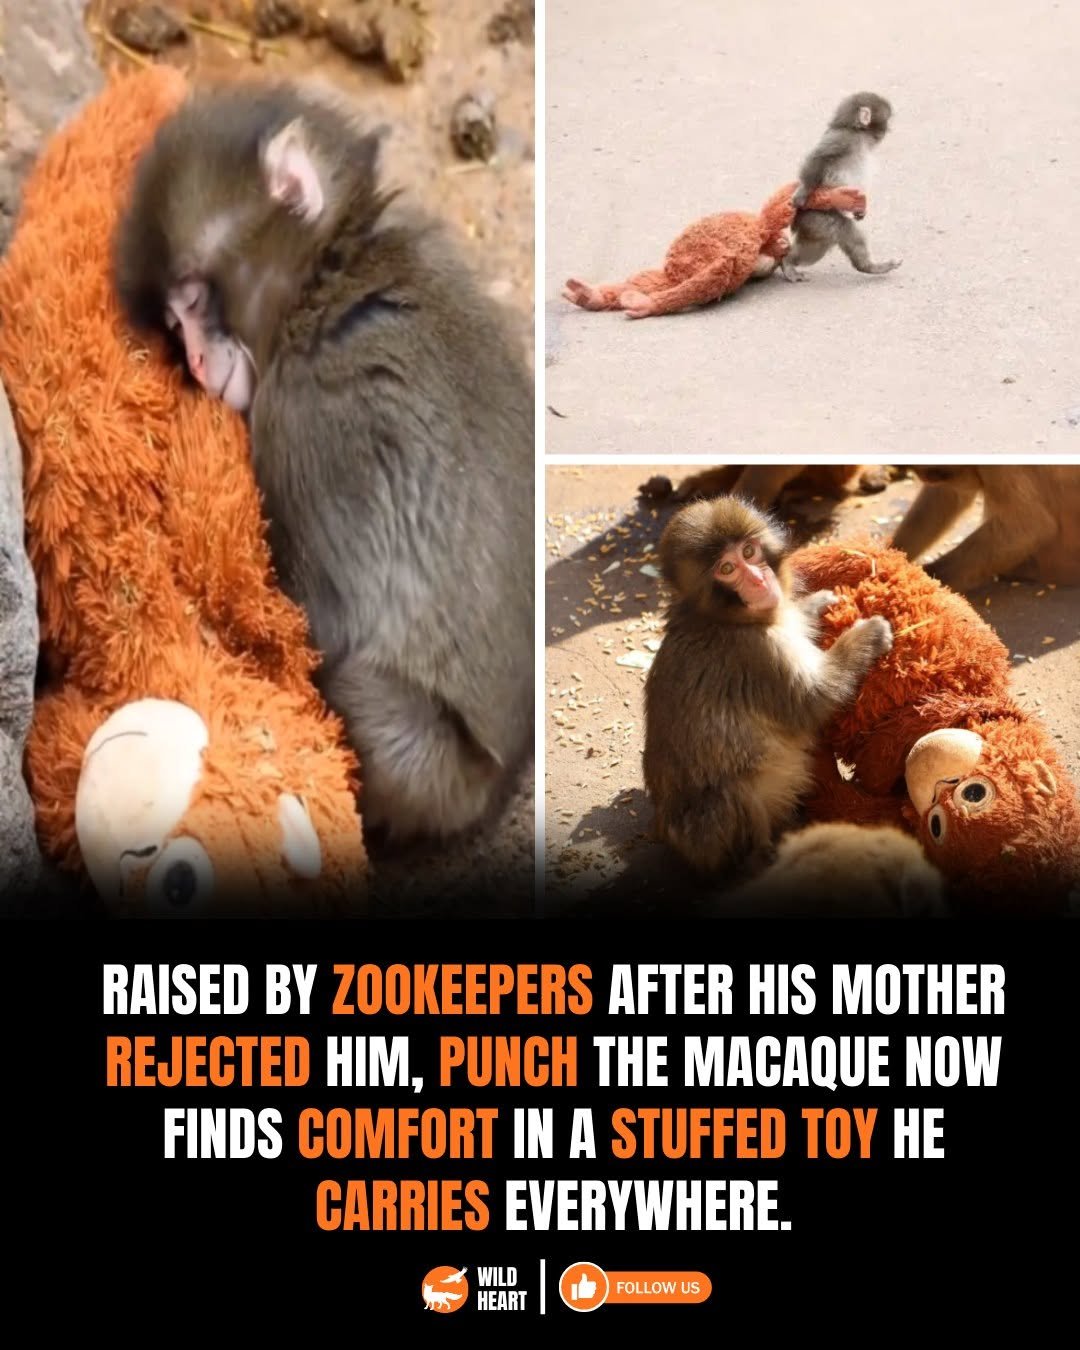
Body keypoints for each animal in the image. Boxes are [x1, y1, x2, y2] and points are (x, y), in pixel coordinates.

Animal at [115, 83, 534, 844]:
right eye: (171, 321)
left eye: (193, 299)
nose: (194, 359)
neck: (326, 278)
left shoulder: (303, 416)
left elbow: (318, 625)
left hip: (426, 766)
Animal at [642, 496, 893, 875]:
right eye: (727, 568)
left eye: (749, 551)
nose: (759, 580)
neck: (725, 618)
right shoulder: (757, 654)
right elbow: (813, 700)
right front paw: (868, 635)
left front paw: (814, 605)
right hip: (708, 836)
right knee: (733, 794)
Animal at [779, 91, 901, 282]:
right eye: (886, 120)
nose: (888, 129)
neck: (857, 133)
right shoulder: (842, 139)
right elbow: (819, 158)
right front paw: (803, 191)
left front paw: (860, 211)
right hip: (816, 217)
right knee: (843, 231)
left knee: (819, 245)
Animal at [890, 466, 1080, 592]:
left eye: (932, 473)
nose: (926, 478)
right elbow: (949, 494)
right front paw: (892, 554)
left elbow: (1030, 526)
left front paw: (925, 582)